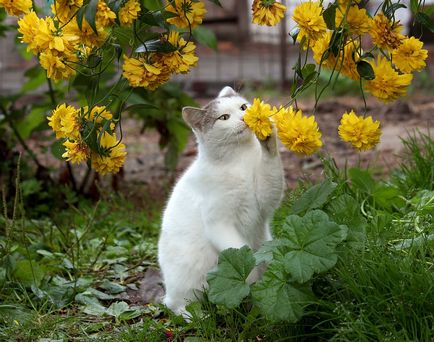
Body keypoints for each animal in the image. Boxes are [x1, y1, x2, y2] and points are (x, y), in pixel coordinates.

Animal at [158, 86, 284, 318]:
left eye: (243, 107)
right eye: (224, 118)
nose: (245, 118)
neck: (239, 160)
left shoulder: (265, 198)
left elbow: (270, 166)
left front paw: (268, 135)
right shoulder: (219, 224)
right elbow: (242, 252)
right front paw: (247, 277)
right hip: (189, 282)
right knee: (177, 305)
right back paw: (198, 316)